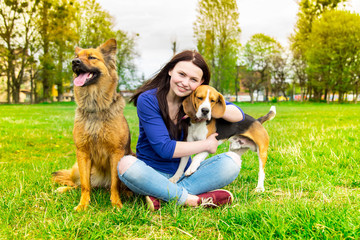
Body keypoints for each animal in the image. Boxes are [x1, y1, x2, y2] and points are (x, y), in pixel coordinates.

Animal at [52, 39, 132, 210]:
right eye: (77, 57)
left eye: (92, 57)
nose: (74, 62)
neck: (95, 107)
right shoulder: (82, 153)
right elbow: (84, 185)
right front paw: (83, 204)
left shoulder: (116, 153)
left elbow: (115, 184)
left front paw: (116, 203)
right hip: (77, 167)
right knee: (77, 184)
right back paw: (63, 189)